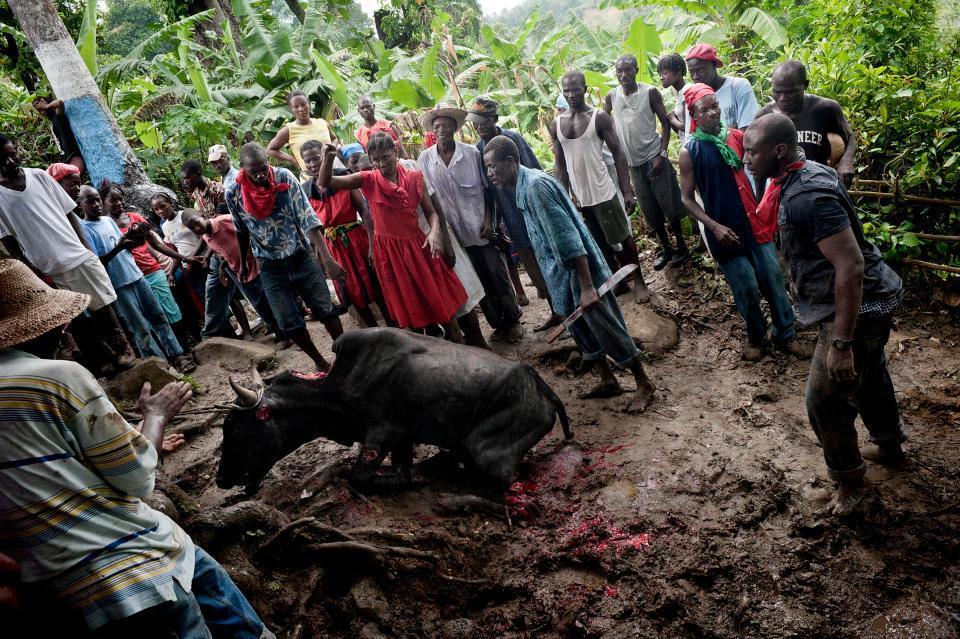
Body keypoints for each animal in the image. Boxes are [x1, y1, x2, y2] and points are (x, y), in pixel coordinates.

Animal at [216, 328, 568, 492]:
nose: (221, 479)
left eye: (233, 428)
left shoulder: (383, 432)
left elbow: (358, 477)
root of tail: (545, 391)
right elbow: (398, 467)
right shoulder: (403, 438)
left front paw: (414, 479)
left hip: (488, 455)